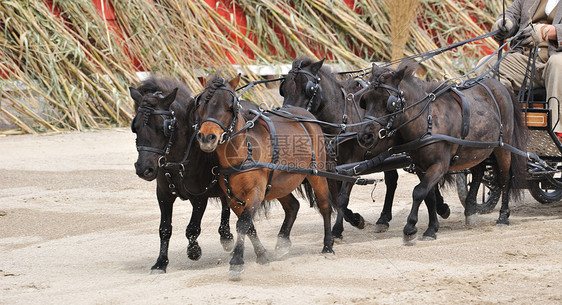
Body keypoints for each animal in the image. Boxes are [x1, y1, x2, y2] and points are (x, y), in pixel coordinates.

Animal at [130, 76, 233, 274]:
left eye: (162, 127)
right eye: (135, 127)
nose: (143, 169)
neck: (178, 160)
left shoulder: (199, 197)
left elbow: (192, 228)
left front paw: (194, 251)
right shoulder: (164, 194)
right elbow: (164, 229)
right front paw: (160, 263)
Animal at [194, 74, 332, 278]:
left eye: (229, 106)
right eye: (202, 104)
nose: (206, 138)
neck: (243, 151)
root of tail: (306, 115)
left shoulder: (256, 191)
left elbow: (243, 224)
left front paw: (237, 261)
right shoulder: (233, 197)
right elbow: (249, 225)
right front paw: (262, 255)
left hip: (316, 175)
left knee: (324, 205)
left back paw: (328, 245)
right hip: (279, 183)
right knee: (293, 206)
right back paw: (282, 244)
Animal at [280, 58, 450, 235]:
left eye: (308, 89)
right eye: (283, 89)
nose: (288, 116)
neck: (343, 117)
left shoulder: (353, 160)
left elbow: (342, 198)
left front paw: (339, 228)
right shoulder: (334, 165)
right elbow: (336, 197)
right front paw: (355, 219)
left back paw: (440, 207)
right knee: (394, 180)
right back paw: (384, 218)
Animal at [356, 61, 528, 242]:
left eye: (389, 102)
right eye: (365, 101)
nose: (364, 136)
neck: (427, 121)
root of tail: (500, 86)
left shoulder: (440, 165)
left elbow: (419, 191)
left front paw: (410, 227)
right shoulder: (421, 167)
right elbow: (428, 196)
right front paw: (432, 228)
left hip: (503, 147)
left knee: (504, 178)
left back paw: (503, 216)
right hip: (474, 150)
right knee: (478, 173)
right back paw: (470, 210)